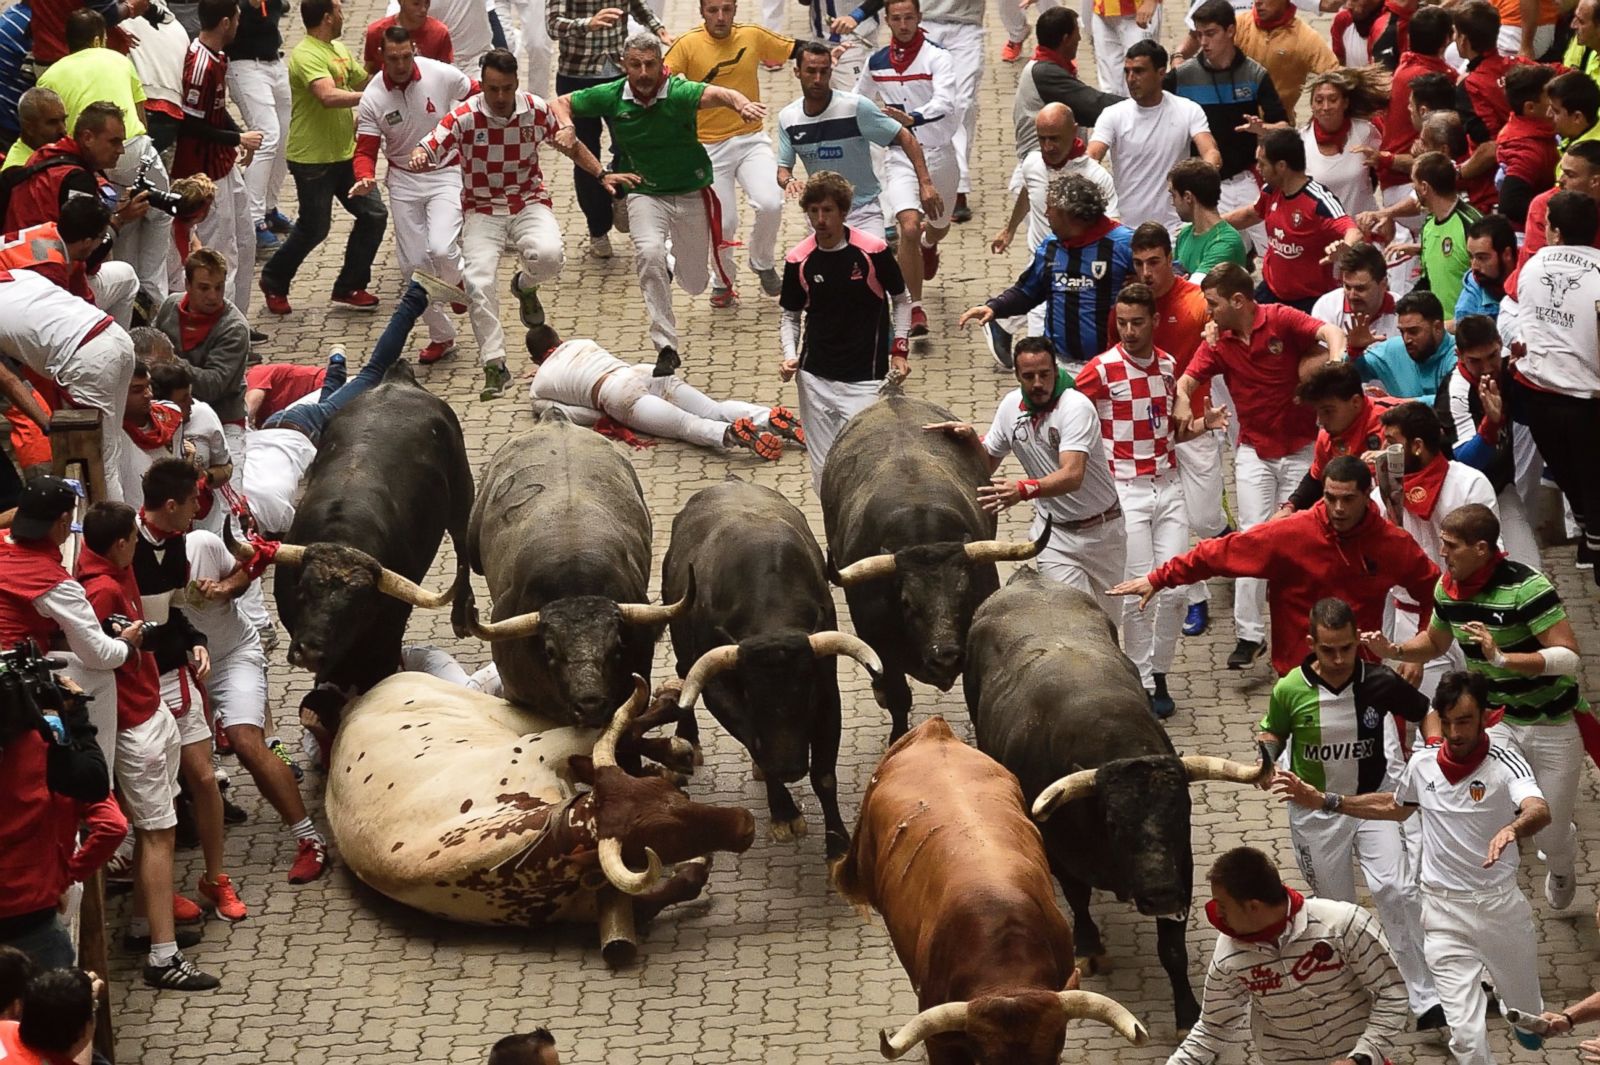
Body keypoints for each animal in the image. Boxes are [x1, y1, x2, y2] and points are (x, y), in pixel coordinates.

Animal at [267, 362, 467, 697]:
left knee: (465, 546)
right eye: (304, 591)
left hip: (463, 492)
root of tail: (398, 379)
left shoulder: (388, 635)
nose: (310, 653)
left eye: (355, 609)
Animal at [960, 572, 1273, 1029]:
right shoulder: (1061, 855)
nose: (1160, 896)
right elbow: (1078, 900)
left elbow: (1173, 951)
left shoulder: (1181, 867)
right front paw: (1090, 949)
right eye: (1113, 823)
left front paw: (1186, 1011)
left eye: (1182, 812)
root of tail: (1028, 579)